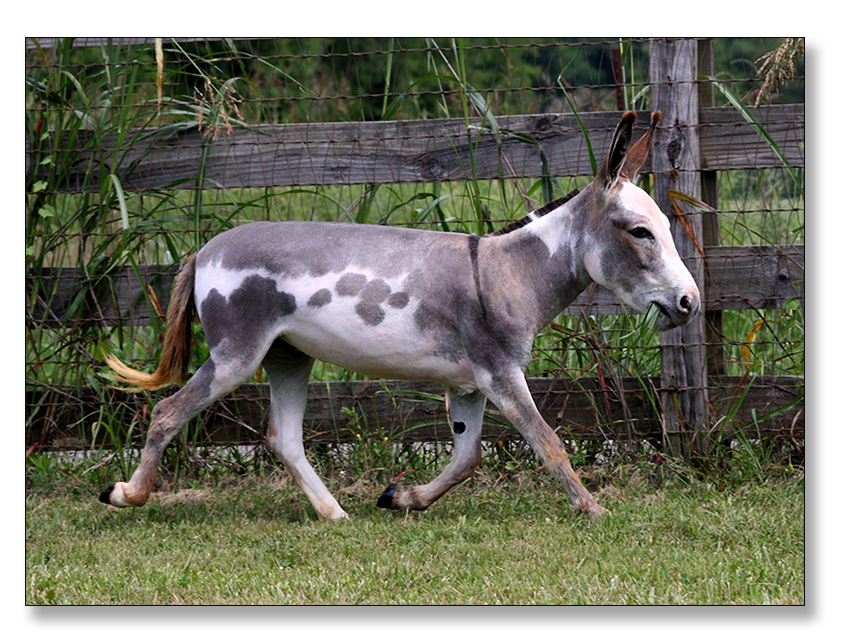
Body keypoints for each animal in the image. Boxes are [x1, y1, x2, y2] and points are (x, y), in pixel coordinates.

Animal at [102, 110, 698, 519]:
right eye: (640, 232)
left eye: (666, 228)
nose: (689, 303)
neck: (510, 273)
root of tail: (205, 249)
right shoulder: (501, 373)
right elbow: (548, 443)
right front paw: (594, 510)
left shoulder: (469, 385)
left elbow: (467, 458)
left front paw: (401, 496)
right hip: (236, 356)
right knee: (168, 412)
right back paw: (128, 493)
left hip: (288, 356)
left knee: (283, 438)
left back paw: (334, 514)